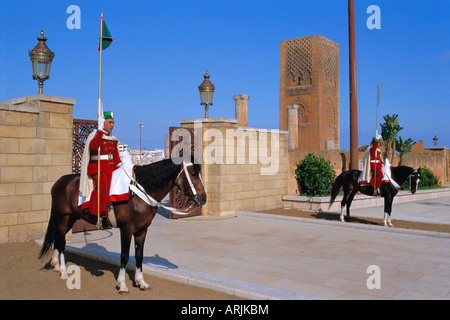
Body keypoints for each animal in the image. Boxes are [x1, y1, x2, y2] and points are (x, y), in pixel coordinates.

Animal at [39, 156, 207, 294]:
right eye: (193, 173)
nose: (203, 198)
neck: (140, 193)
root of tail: (59, 182)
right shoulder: (126, 229)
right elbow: (124, 256)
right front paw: (122, 284)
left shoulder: (142, 230)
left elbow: (139, 255)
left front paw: (140, 281)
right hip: (63, 218)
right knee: (61, 241)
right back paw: (63, 271)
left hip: (71, 219)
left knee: (57, 239)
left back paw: (55, 265)